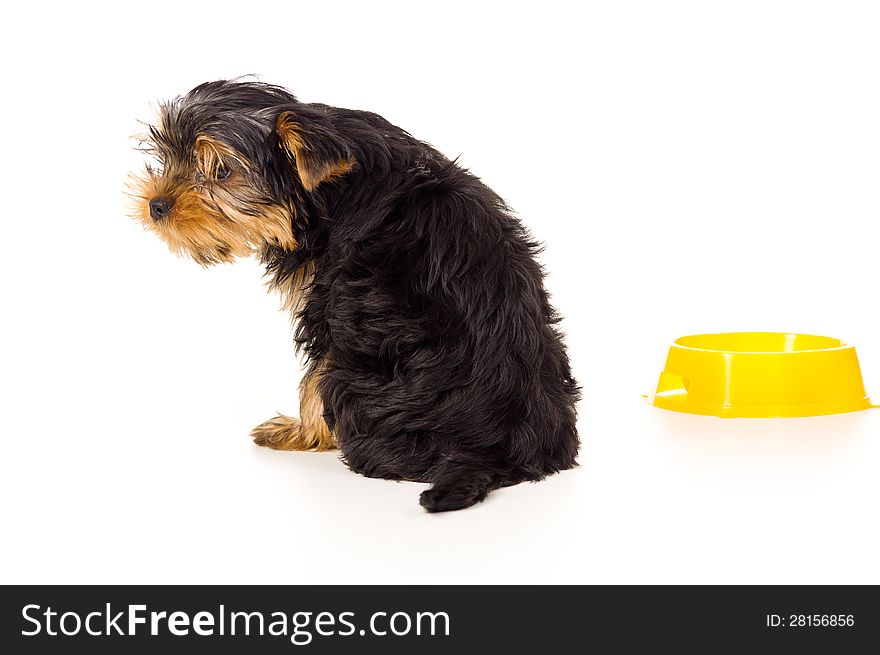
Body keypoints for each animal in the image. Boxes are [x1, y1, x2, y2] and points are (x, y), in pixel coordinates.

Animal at [131, 80, 580, 512]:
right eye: (166, 155)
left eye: (221, 171)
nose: (157, 205)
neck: (326, 193)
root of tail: (496, 451)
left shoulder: (325, 301)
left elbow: (312, 380)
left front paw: (301, 432)